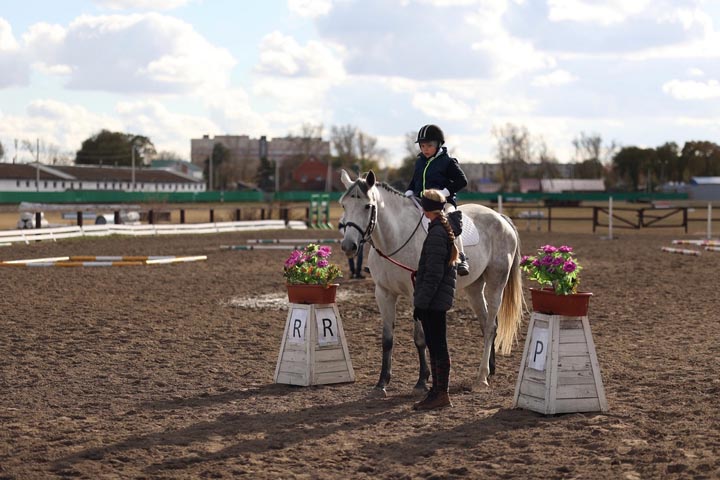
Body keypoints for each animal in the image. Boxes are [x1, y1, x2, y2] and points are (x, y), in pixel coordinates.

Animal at [340, 171, 524, 396]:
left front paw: (421, 381)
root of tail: (500, 218)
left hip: (496, 282)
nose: (349, 246)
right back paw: (490, 370)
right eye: (344, 205)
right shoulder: (383, 293)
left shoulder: (416, 292)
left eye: (367, 206)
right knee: (487, 323)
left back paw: (481, 378)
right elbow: (387, 339)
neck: (396, 239)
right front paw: (381, 383)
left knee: (490, 327)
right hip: (474, 288)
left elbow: (420, 338)